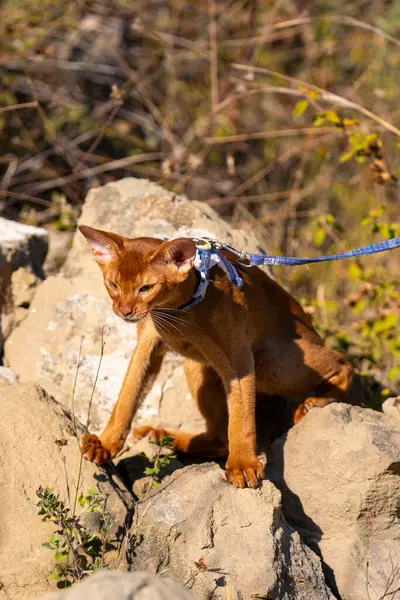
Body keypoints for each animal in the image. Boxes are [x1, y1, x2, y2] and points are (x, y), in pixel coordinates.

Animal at [79, 225, 354, 488]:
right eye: (113, 285)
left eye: (146, 288)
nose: (123, 311)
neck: (178, 314)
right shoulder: (146, 347)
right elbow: (126, 398)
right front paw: (104, 444)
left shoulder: (240, 359)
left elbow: (242, 417)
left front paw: (243, 464)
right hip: (198, 367)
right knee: (219, 440)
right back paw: (163, 436)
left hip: (272, 364)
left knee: (344, 363)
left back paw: (317, 401)